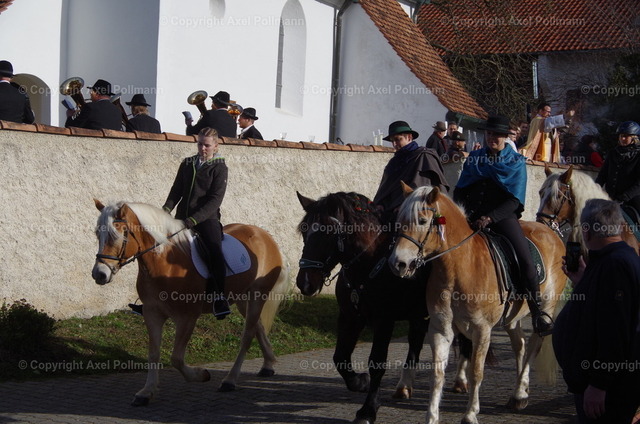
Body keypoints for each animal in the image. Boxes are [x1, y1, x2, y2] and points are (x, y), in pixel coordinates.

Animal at [91, 199, 289, 405]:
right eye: (98, 234)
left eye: (116, 235)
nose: (99, 274)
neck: (163, 261)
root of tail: (265, 235)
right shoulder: (152, 313)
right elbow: (153, 353)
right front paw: (146, 392)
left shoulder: (187, 317)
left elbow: (176, 358)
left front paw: (201, 375)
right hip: (243, 299)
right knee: (258, 326)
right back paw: (268, 364)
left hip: (258, 295)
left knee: (247, 335)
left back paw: (230, 380)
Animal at [296, 191, 471, 424]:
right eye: (304, 230)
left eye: (329, 233)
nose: (305, 283)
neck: (369, 262)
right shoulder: (350, 317)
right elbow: (340, 356)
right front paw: (359, 382)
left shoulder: (383, 321)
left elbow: (377, 362)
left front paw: (368, 410)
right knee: (415, 343)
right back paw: (404, 386)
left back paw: (460, 380)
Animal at [388, 184, 566, 424]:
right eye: (399, 220)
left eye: (423, 221)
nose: (397, 263)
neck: (458, 267)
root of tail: (552, 233)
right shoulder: (440, 329)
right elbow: (437, 374)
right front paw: (432, 416)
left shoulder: (482, 330)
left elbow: (476, 372)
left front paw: (470, 414)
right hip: (512, 317)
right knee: (520, 344)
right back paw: (519, 392)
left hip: (545, 307)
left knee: (533, 345)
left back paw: (520, 392)